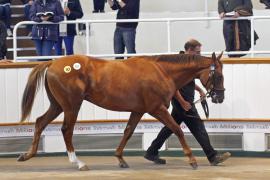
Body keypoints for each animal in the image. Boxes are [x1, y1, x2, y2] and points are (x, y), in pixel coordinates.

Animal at [17, 52, 224, 171]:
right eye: (219, 75)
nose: (219, 97)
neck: (161, 71)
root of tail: (52, 63)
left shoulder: (138, 111)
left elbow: (128, 132)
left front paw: (120, 158)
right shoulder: (157, 109)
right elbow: (177, 129)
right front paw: (192, 160)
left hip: (57, 105)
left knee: (40, 122)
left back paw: (27, 155)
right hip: (71, 106)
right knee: (66, 130)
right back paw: (78, 163)